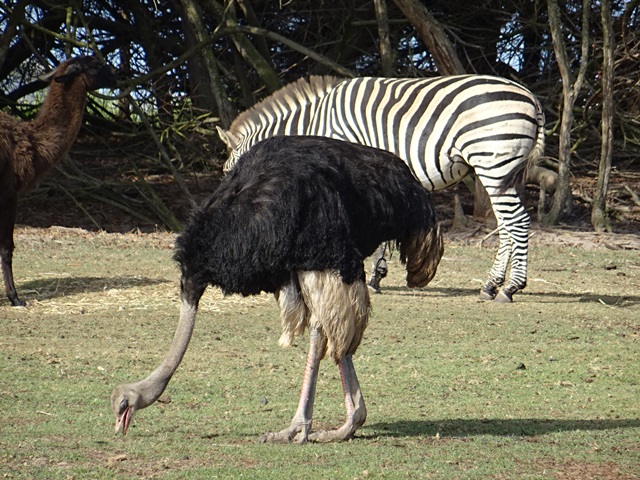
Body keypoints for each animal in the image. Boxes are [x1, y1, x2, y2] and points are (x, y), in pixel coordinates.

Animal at [216, 73, 544, 302]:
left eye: (231, 174)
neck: (317, 123)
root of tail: (531, 97)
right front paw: (376, 276)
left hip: (494, 161)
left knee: (518, 222)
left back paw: (510, 287)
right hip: (505, 171)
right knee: (507, 225)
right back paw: (491, 285)